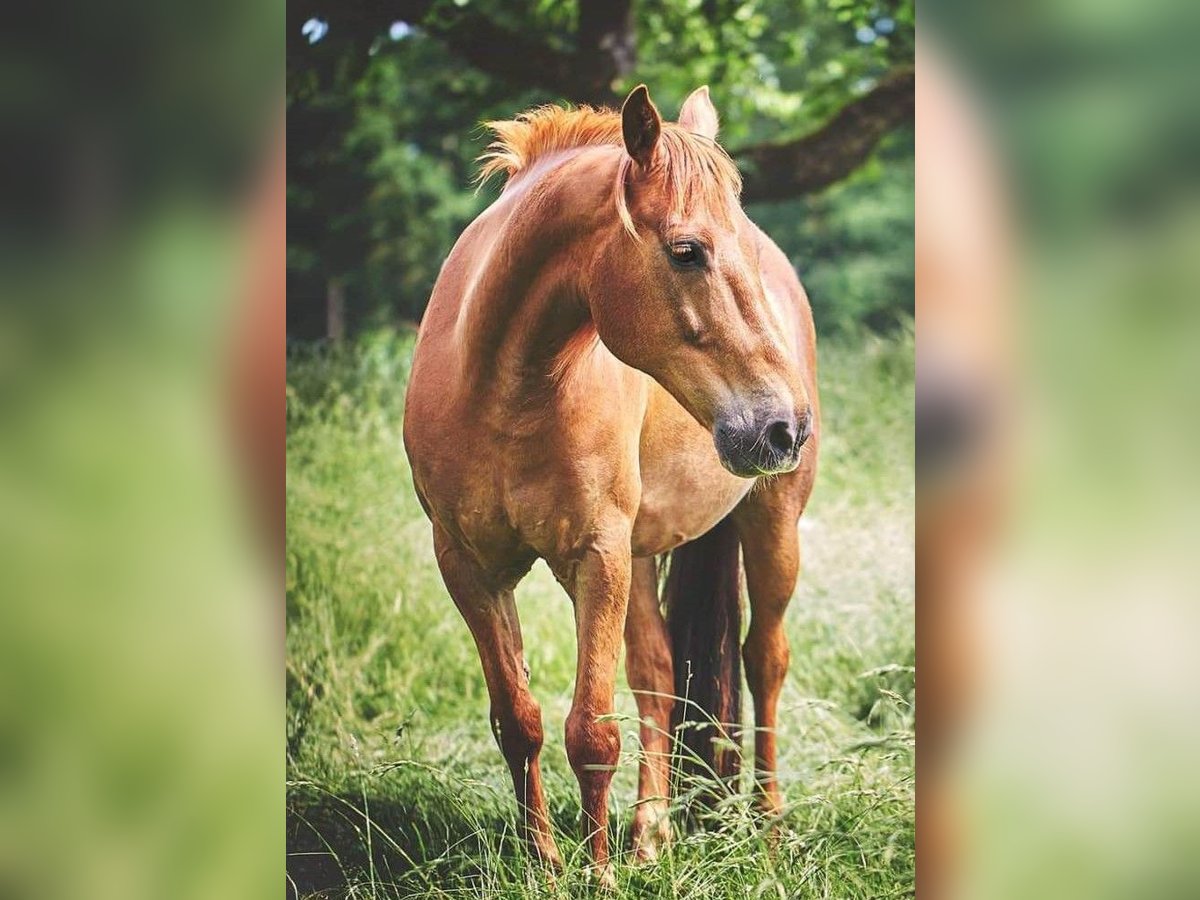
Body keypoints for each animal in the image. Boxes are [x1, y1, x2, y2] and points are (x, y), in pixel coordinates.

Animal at [403, 84, 816, 883]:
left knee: (764, 661)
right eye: (687, 252)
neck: (506, 388)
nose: (785, 426)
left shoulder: (595, 558)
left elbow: (591, 733)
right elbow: (519, 720)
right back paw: (650, 834)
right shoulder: (468, 567)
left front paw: (594, 874)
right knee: (658, 675)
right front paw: (545, 865)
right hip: (644, 552)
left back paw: (771, 827)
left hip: (771, 523)